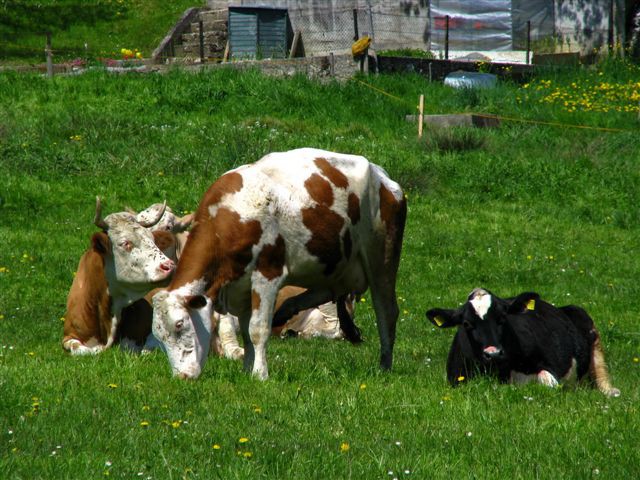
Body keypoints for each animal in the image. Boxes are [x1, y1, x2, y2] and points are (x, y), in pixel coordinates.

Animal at [152, 146, 408, 378]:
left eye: (179, 324)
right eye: (158, 336)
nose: (182, 377)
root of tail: (381, 175)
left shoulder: (267, 274)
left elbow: (257, 329)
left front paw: (260, 375)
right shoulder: (241, 287)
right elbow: (247, 332)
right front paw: (248, 370)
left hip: (381, 258)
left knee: (386, 311)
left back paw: (384, 366)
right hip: (332, 266)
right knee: (328, 291)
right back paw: (287, 310)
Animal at [424, 288, 620, 398]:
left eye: (503, 318)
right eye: (466, 324)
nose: (493, 353)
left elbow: (546, 380)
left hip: (589, 328)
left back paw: (610, 392)